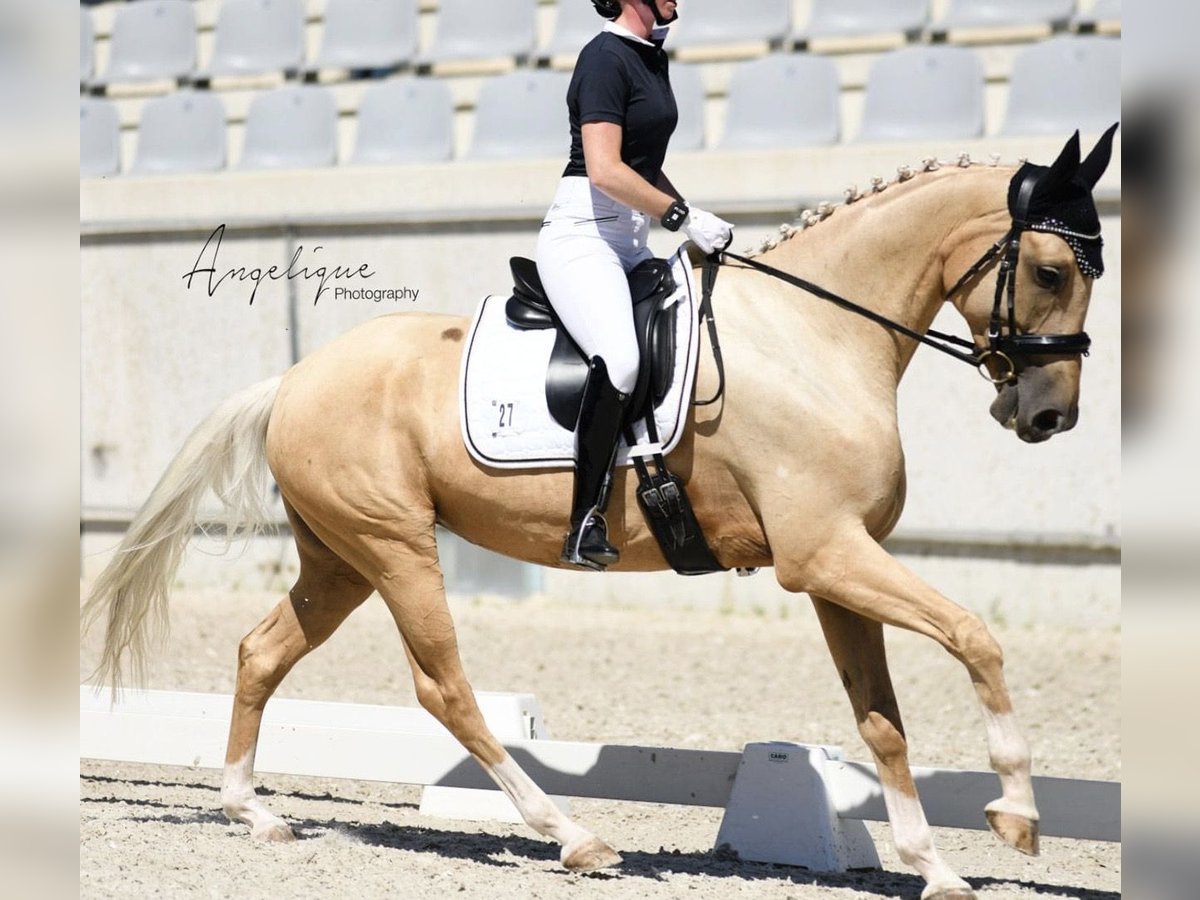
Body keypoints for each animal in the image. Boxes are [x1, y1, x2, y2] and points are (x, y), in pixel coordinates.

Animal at [82, 128, 1113, 900]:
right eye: (1052, 270)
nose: (1048, 415)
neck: (815, 338)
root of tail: (294, 378)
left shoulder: (838, 568)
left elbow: (882, 721)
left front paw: (935, 867)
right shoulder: (825, 556)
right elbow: (977, 637)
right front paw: (1016, 816)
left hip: (340, 558)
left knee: (262, 651)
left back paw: (253, 812)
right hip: (394, 547)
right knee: (445, 690)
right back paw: (573, 837)